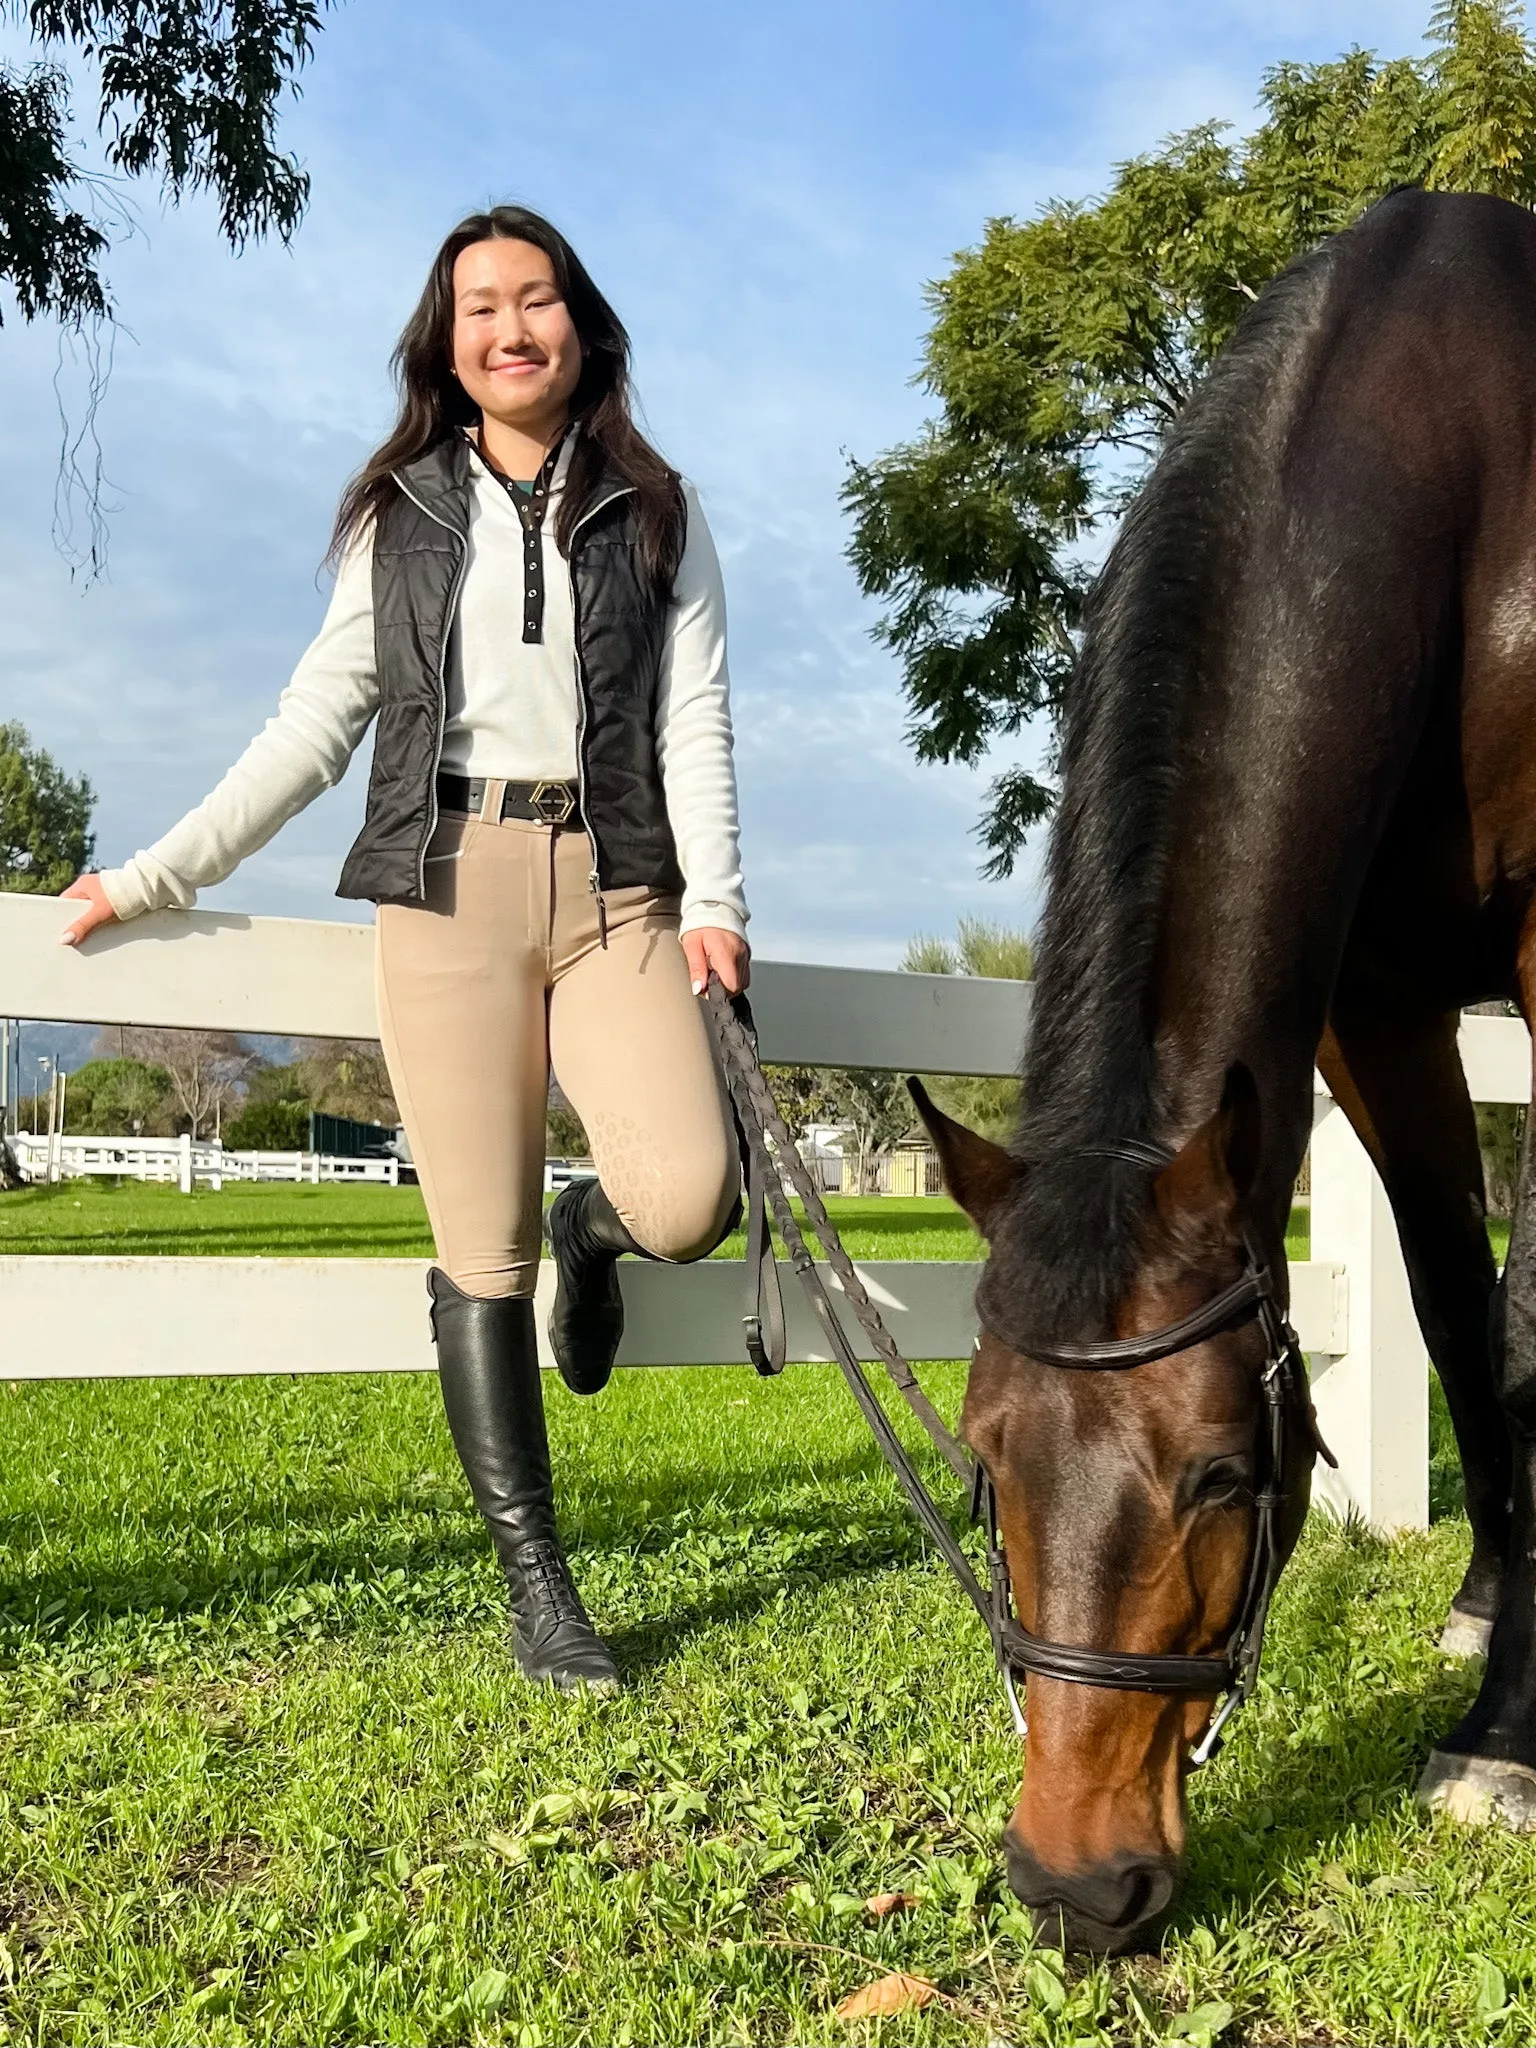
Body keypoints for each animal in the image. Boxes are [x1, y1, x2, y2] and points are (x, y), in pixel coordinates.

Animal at [921, 188, 1536, 1949]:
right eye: (986, 1464)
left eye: (1215, 1476)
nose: (1073, 1883)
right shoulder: (1375, 1009)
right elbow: (1457, 1311)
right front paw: (1493, 1654)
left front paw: (1512, 1742)